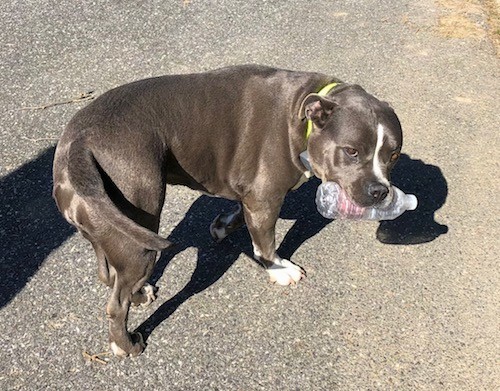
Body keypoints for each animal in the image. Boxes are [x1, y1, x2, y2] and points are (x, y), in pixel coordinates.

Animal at [51, 65, 402, 358]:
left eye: (394, 154)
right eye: (351, 151)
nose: (380, 190)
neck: (302, 114)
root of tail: (78, 145)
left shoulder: (249, 192)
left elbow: (240, 213)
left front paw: (222, 225)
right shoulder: (265, 198)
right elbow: (265, 241)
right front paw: (279, 269)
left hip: (107, 228)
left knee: (110, 274)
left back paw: (139, 295)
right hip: (139, 228)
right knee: (116, 302)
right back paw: (126, 345)